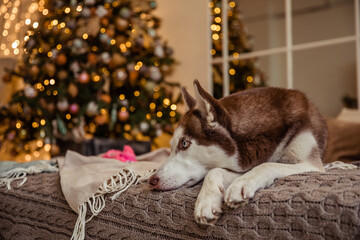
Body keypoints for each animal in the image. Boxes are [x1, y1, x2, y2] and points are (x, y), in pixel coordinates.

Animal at [148, 79, 326, 224]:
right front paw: (207, 201)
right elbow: (214, 171)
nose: (151, 181)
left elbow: (267, 164)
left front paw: (242, 184)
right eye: (172, 147)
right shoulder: (244, 163)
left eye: (184, 143)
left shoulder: (312, 165)